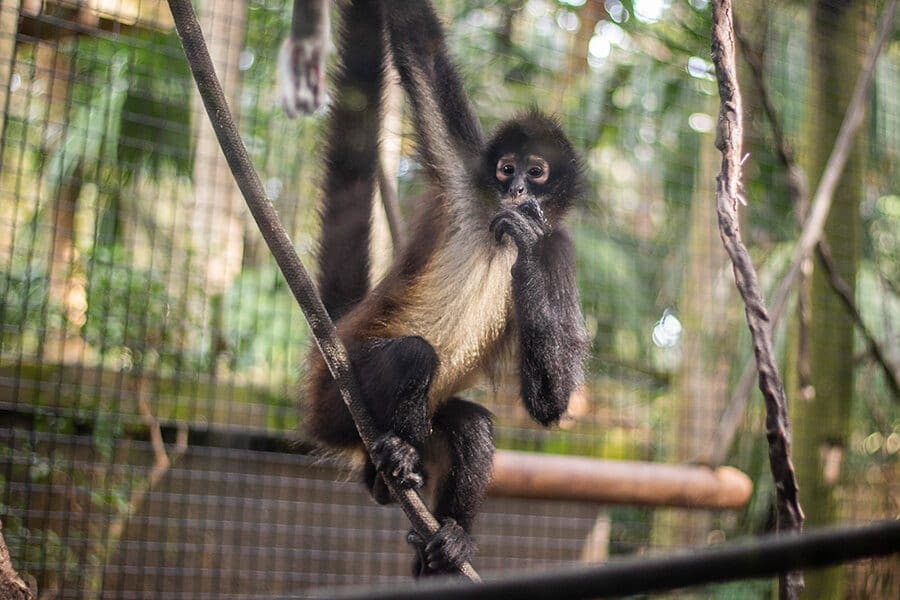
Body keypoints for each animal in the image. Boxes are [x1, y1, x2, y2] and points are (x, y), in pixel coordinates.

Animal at [302, 0, 592, 576]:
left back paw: (447, 535)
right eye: (506, 168)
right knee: (414, 354)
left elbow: (550, 403)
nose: (517, 190)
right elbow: (419, 44)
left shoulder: (560, 247)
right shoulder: (464, 175)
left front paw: (524, 240)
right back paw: (397, 460)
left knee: (472, 426)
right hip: (331, 400)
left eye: (537, 172)